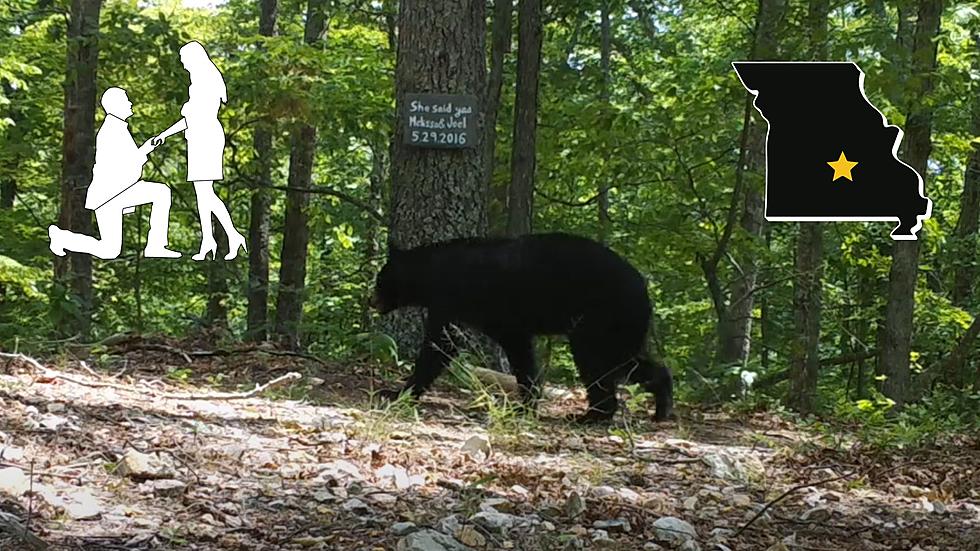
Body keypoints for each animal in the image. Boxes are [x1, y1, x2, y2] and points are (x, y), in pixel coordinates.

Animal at [370, 233, 672, 422]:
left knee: (597, 360)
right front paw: (528, 401)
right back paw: (661, 404)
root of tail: (644, 287)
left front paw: (398, 392)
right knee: (625, 361)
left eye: (380, 280)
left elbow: (442, 344)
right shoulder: (486, 315)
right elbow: (516, 351)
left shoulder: (454, 298)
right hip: (619, 324)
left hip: (603, 316)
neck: (431, 274)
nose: (372, 300)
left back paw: (593, 414)